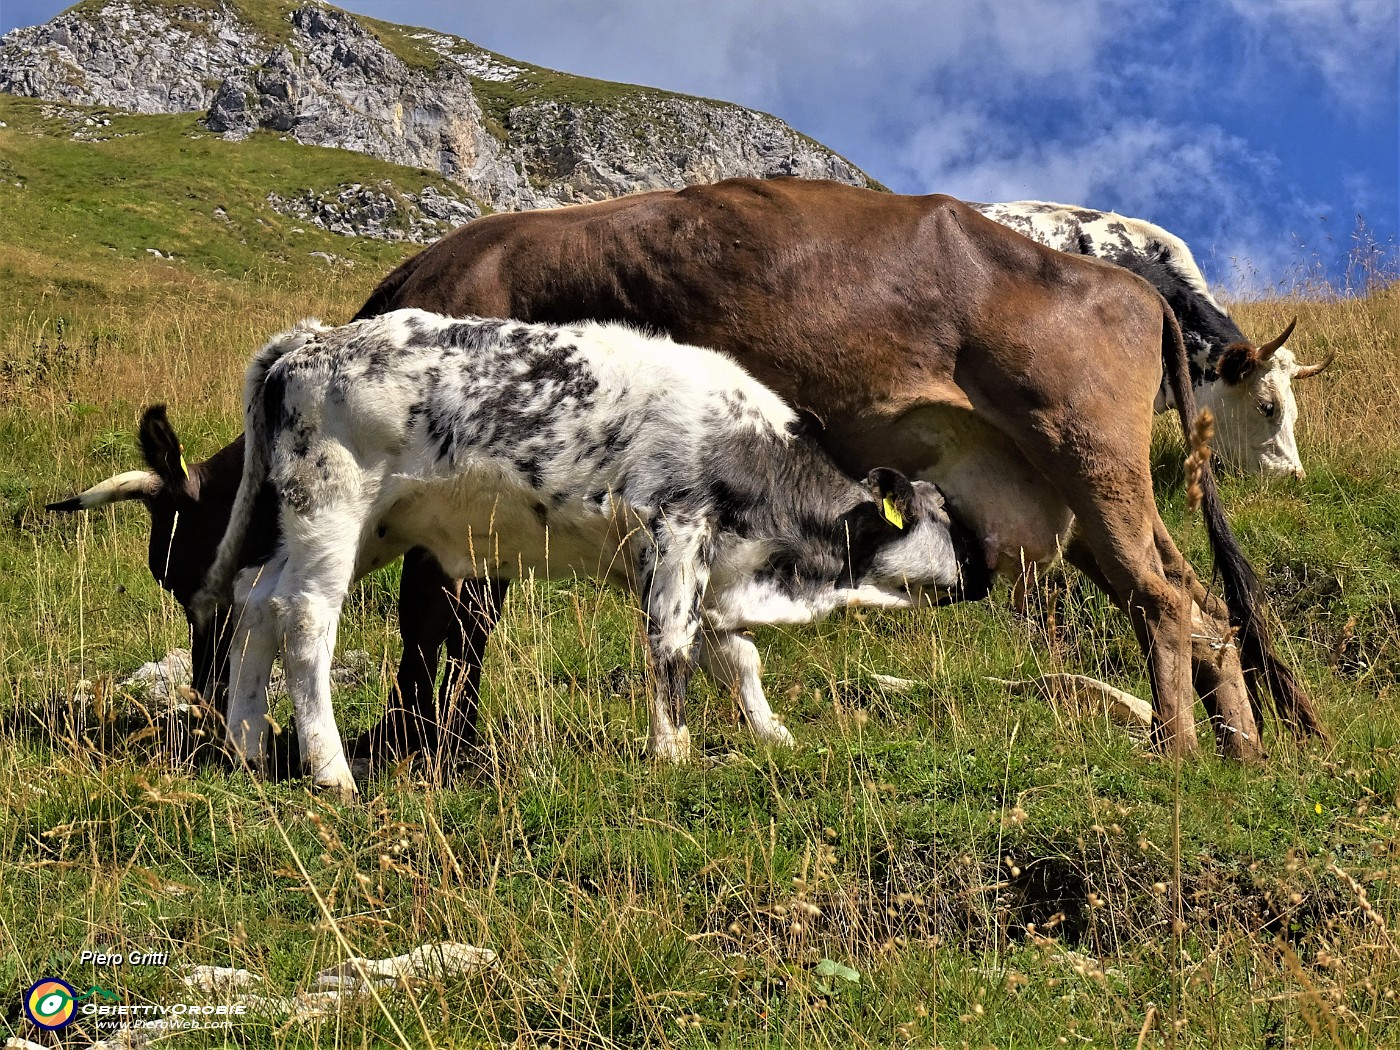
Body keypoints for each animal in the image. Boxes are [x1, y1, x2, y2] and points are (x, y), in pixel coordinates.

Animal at [194, 308, 985, 800]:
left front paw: (771, 732)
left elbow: (738, 656)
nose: (981, 576)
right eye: (948, 518)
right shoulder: (677, 532)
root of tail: (312, 341)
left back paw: (247, 743)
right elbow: (672, 646)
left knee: (256, 598)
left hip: (357, 527)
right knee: (305, 619)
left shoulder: (705, 566)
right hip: (332, 509)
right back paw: (330, 769)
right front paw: (673, 753)